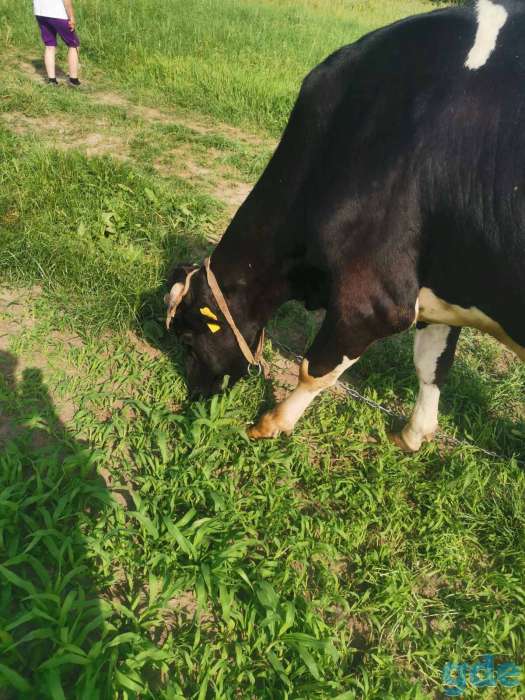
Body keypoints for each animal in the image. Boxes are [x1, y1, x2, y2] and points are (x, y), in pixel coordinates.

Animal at [165, 0, 525, 452]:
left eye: (188, 341)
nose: (195, 396)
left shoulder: (373, 299)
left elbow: (315, 369)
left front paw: (270, 423)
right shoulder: (438, 291)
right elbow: (432, 365)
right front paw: (412, 436)